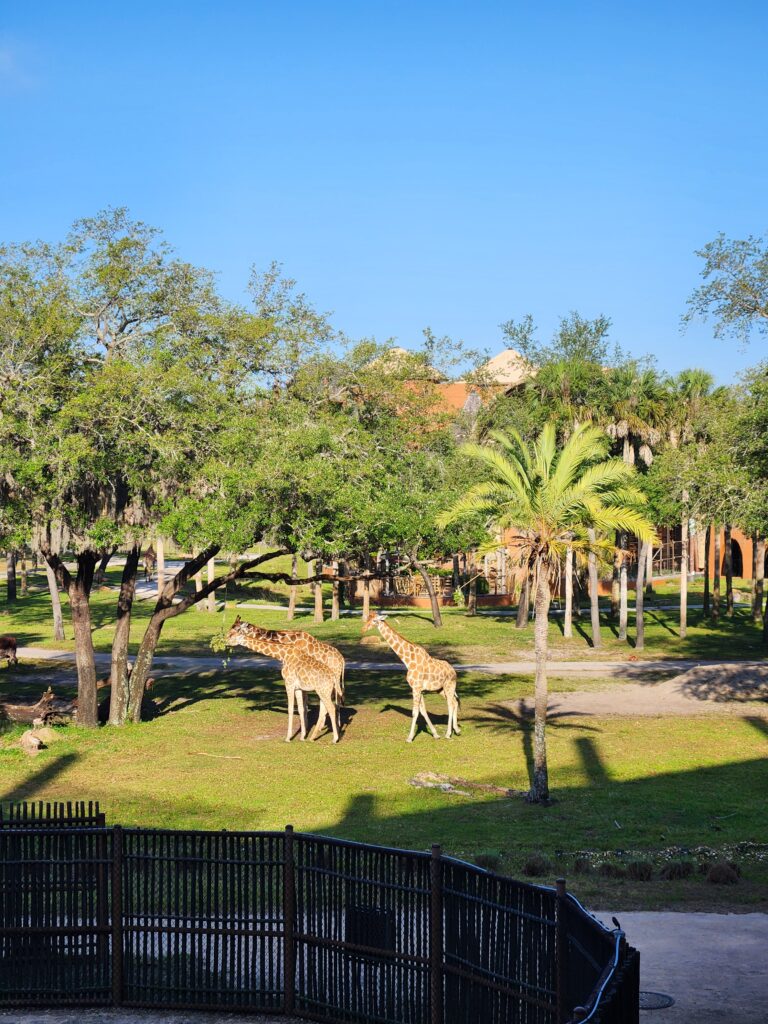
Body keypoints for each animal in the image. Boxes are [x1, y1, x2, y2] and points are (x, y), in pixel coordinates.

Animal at [224, 614, 342, 745]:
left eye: (233, 631)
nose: (224, 640)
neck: (283, 655)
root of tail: (342, 660)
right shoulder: (299, 687)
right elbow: (301, 708)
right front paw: (303, 735)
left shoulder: (289, 683)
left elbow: (292, 708)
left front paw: (289, 737)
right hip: (326, 689)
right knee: (328, 706)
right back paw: (317, 735)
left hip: (324, 689)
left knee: (332, 706)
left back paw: (334, 737)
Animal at [362, 610, 460, 741]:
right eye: (367, 618)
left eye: (374, 620)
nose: (363, 629)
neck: (408, 662)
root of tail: (454, 671)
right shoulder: (419, 689)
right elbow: (423, 711)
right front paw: (435, 734)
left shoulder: (416, 688)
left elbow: (415, 712)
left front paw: (409, 738)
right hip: (440, 689)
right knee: (454, 702)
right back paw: (457, 730)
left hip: (449, 686)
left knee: (450, 704)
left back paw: (448, 734)